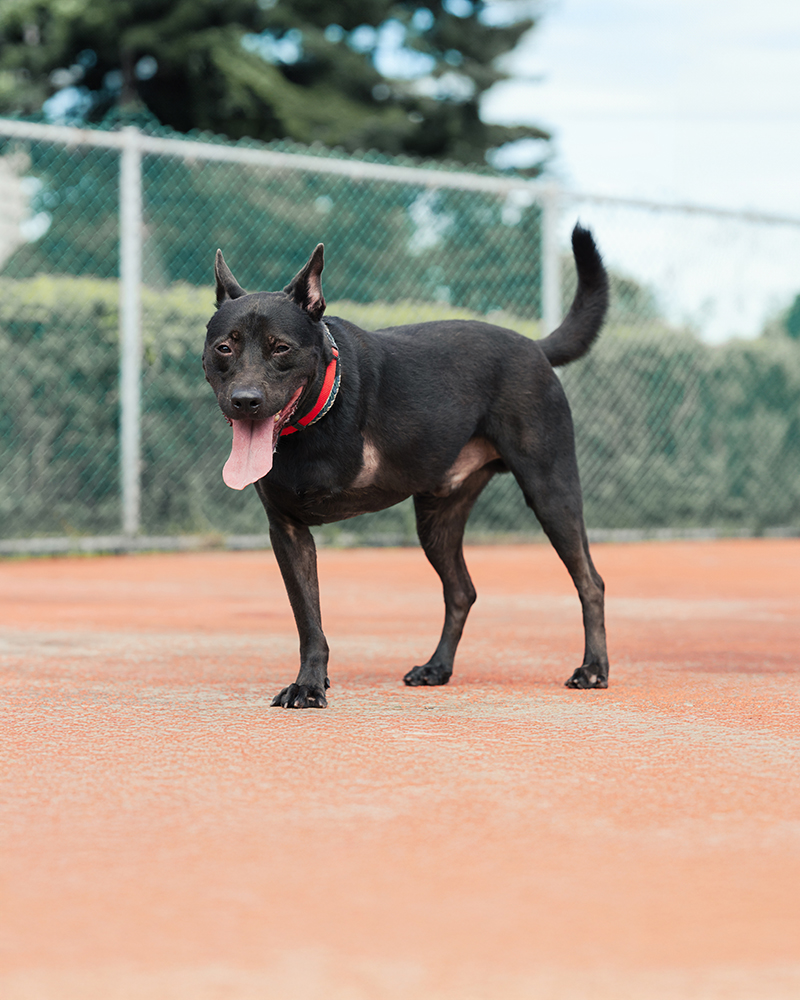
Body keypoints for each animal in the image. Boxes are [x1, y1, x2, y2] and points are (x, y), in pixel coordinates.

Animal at [203, 224, 610, 708]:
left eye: (280, 348)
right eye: (224, 348)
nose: (245, 401)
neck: (317, 412)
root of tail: (533, 345)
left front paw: (309, 685)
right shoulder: (287, 531)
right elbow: (308, 619)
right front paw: (310, 680)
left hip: (551, 493)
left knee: (590, 582)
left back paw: (594, 668)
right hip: (436, 519)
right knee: (461, 591)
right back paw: (438, 666)